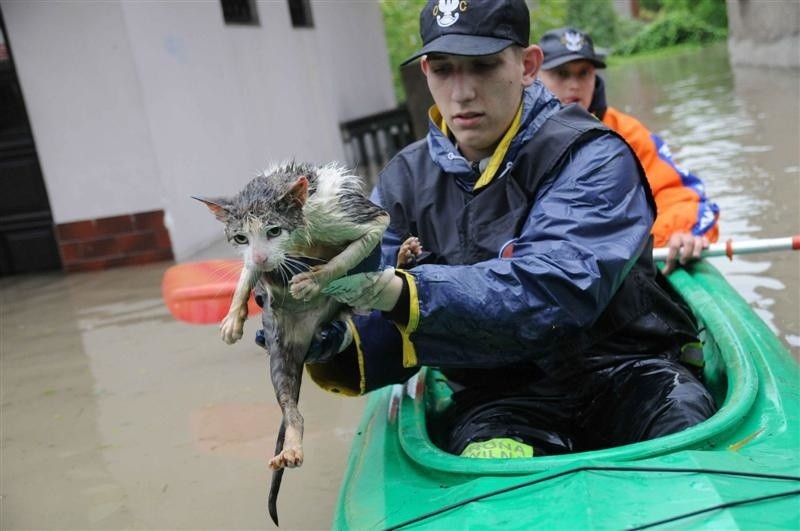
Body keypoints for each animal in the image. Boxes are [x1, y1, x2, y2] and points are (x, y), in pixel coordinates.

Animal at [197, 161, 390, 524]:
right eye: (240, 237)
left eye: (274, 231)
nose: (262, 259)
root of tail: (306, 331)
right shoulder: (255, 258)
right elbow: (246, 272)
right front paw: (234, 315)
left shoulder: (345, 213)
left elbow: (360, 243)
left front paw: (315, 279)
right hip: (279, 343)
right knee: (292, 410)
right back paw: (292, 446)